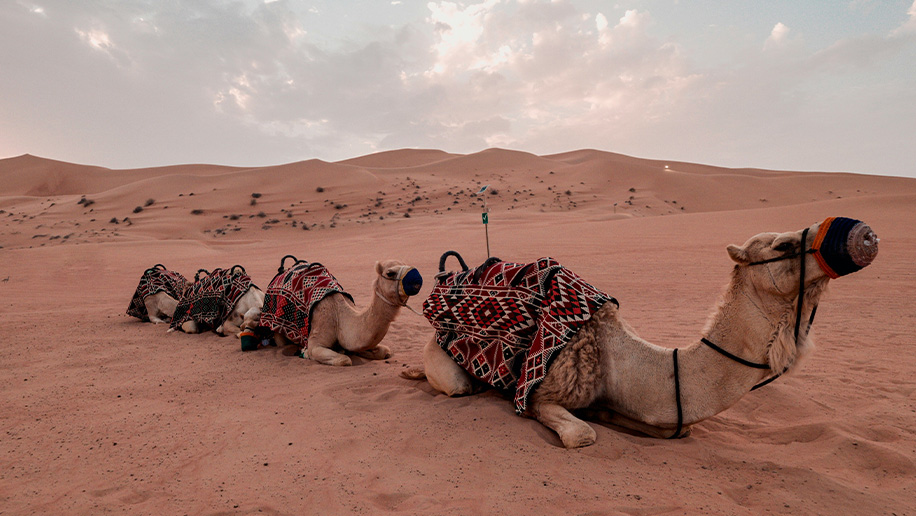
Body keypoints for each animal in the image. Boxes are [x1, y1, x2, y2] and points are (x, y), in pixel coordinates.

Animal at [238, 256, 420, 364]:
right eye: (390, 273)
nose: (417, 278)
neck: (340, 316)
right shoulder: (316, 341)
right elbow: (344, 360)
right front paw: (307, 354)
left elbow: (384, 351)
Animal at [404, 218, 876, 448]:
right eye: (781, 246)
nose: (863, 235)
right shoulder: (544, 393)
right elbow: (581, 435)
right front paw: (591, 422)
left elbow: (677, 430)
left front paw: (609, 415)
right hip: (444, 359)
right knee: (456, 385)